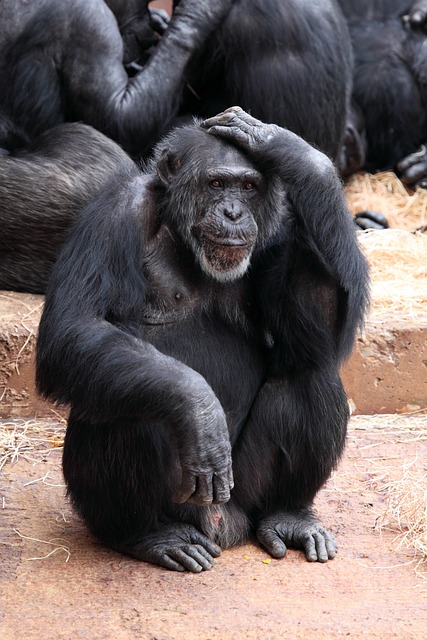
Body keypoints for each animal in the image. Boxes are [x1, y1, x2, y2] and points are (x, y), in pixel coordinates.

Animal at [36, 107, 372, 572]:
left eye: (248, 187)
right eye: (215, 184)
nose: (233, 212)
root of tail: (221, 529)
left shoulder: (282, 228)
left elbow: (315, 339)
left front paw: (294, 153)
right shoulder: (114, 213)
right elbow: (75, 327)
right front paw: (200, 410)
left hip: (242, 495)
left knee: (312, 375)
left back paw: (288, 515)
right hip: (181, 503)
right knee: (137, 400)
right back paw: (150, 535)